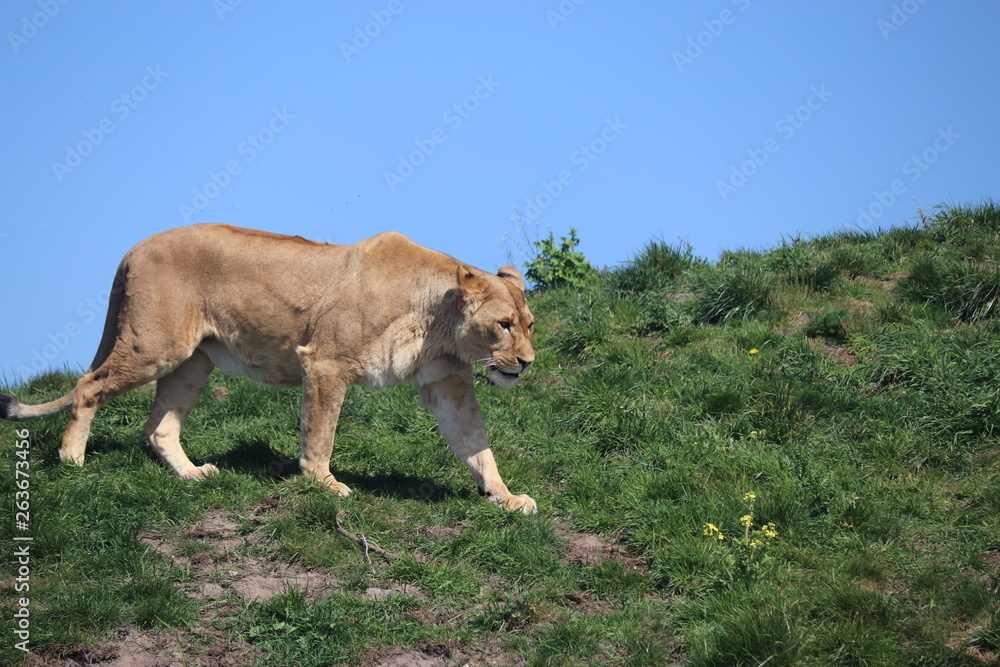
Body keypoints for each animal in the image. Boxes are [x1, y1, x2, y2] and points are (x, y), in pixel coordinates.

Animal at [0, 224, 538, 514]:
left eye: (530, 325)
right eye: (504, 325)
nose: (527, 363)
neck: (439, 325)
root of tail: (135, 247)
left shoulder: (448, 382)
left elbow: (476, 445)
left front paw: (507, 497)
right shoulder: (325, 361)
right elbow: (320, 432)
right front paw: (323, 484)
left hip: (192, 363)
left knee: (158, 426)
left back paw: (192, 475)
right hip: (155, 345)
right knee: (88, 384)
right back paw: (72, 458)